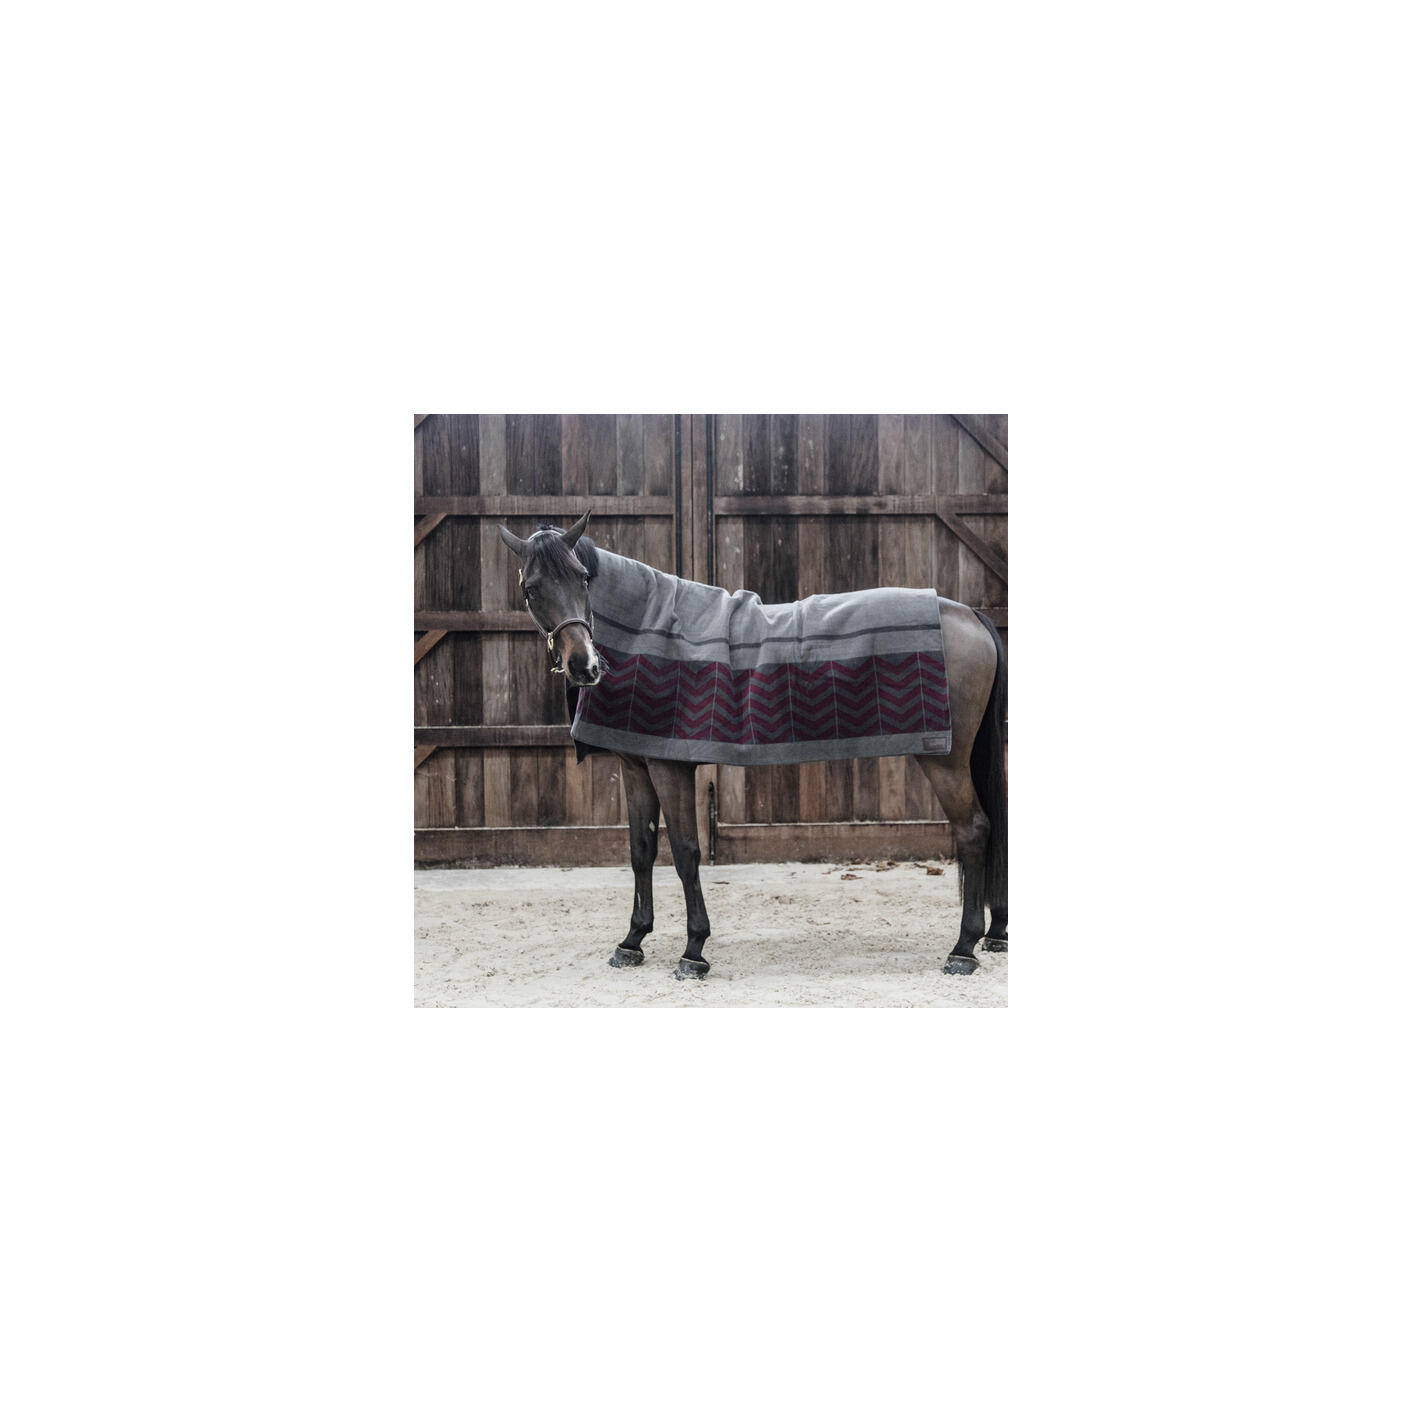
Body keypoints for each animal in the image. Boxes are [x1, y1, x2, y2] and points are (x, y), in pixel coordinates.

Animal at [496, 511, 1007, 982]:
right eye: (532, 589)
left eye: (583, 578)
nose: (584, 665)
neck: (645, 626)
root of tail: (967, 614)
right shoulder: (636, 765)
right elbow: (641, 851)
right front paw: (632, 941)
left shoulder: (669, 767)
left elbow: (686, 852)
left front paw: (693, 951)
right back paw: (992, 934)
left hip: (945, 761)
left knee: (974, 830)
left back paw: (963, 949)